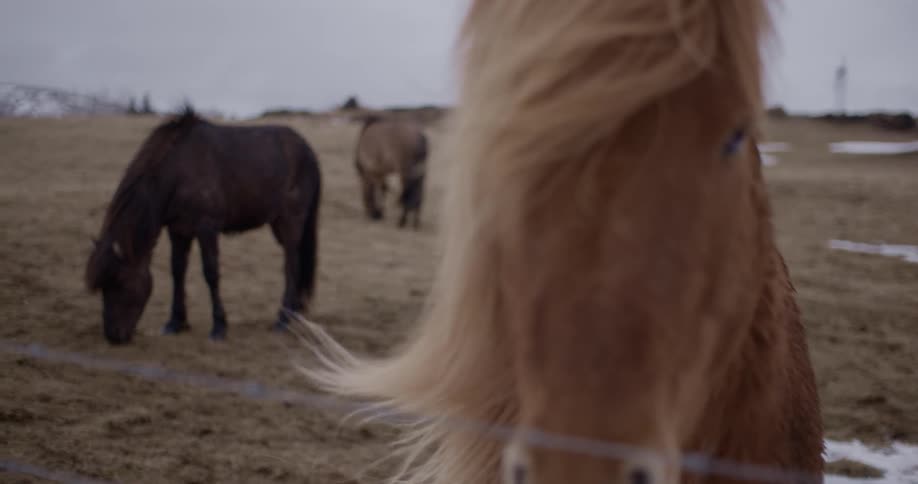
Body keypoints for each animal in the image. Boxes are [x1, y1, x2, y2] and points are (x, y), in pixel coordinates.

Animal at [85, 107, 322, 344]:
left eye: (119, 281)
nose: (113, 336)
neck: (177, 171)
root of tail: (307, 150)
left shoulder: (206, 228)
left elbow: (211, 273)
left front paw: (219, 326)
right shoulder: (178, 231)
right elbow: (177, 271)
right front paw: (176, 322)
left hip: (290, 221)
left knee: (291, 265)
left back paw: (283, 319)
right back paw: (294, 314)